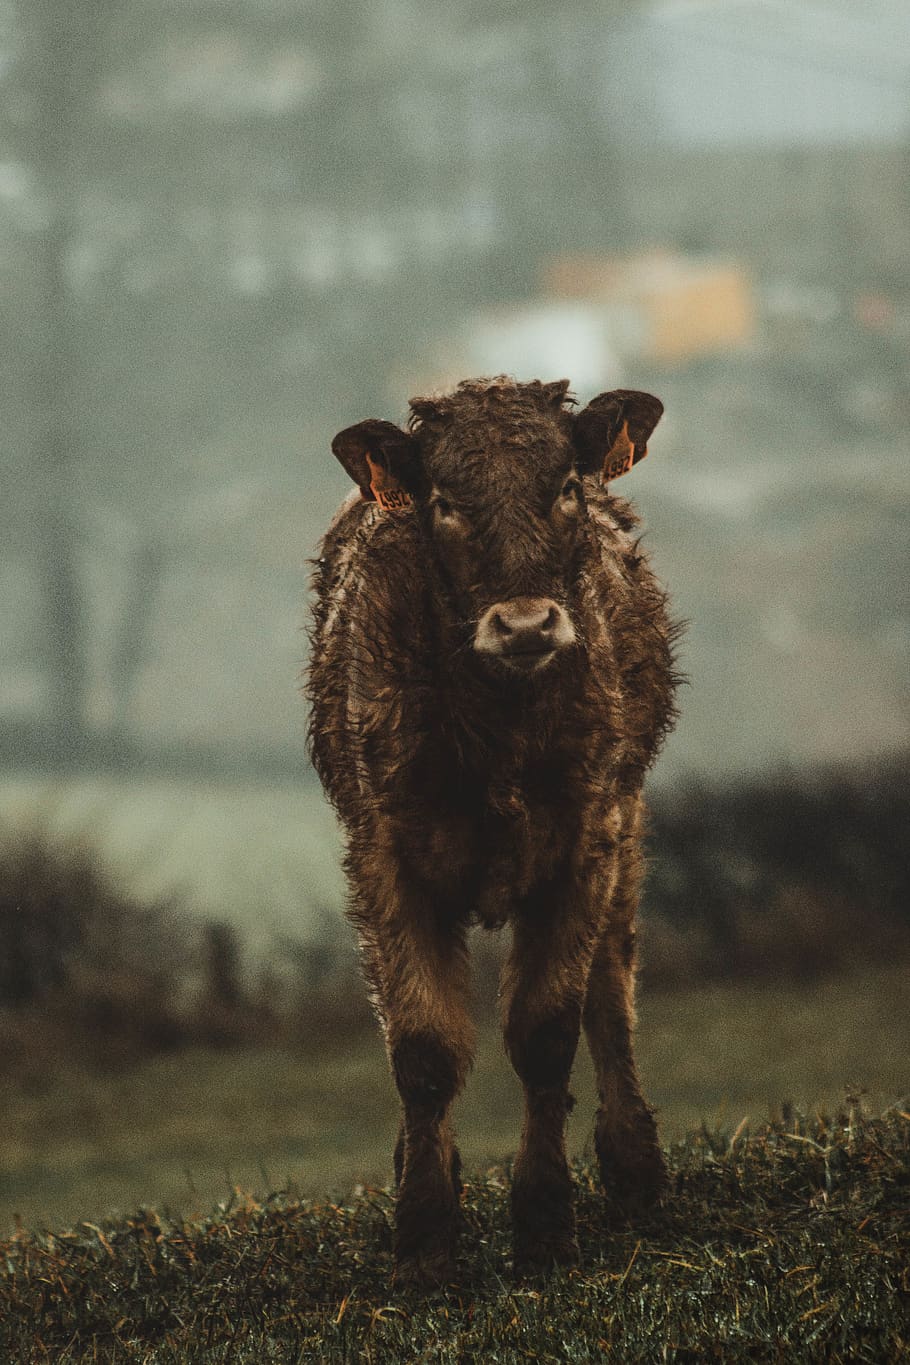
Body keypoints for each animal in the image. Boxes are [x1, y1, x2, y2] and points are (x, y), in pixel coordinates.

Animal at [306, 375, 680, 1285]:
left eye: (567, 486)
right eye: (444, 501)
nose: (526, 625)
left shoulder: (585, 840)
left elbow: (548, 1033)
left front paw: (544, 1224)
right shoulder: (384, 854)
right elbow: (422, 1049)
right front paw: (424, 1235)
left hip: (627, 825)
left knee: (612, 993)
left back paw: (634, 1169)